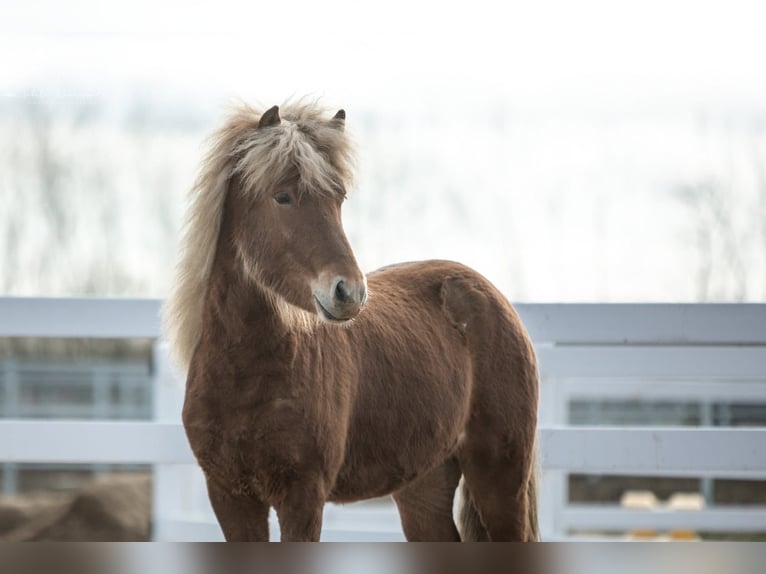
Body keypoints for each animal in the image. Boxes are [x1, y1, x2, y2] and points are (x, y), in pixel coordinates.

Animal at [163, 101, 540, 542]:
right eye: (282, 197)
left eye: (338, 197)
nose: (349, 292)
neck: (246, 376)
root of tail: (491, 296)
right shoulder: (230, 497)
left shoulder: (303, 497)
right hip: (425, 483)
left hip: (500, 477)